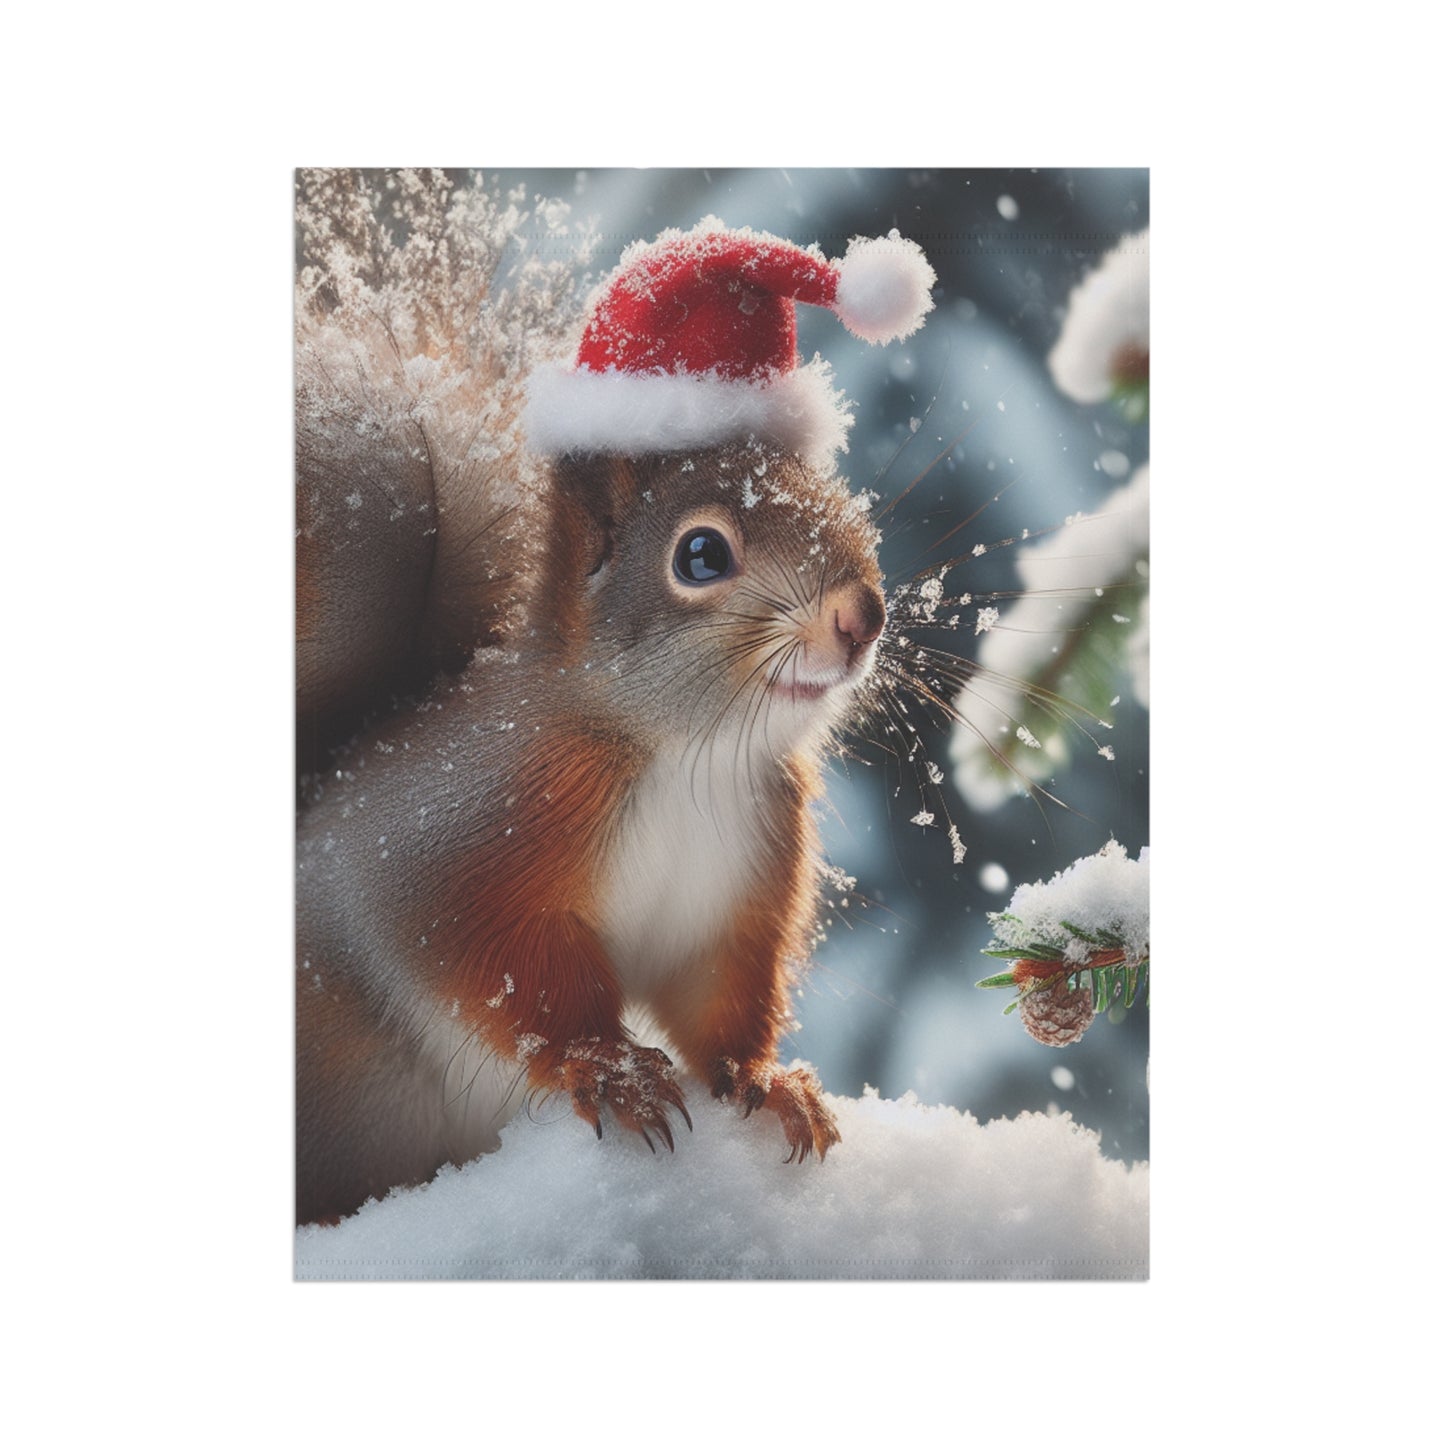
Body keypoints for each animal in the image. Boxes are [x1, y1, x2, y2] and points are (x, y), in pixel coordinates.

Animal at [295, 174, 937, 1226]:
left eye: (842, 507)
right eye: (701, 554)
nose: (863, 615)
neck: (685, 754)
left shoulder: (736, 887)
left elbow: (718, 995)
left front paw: (769, 1081)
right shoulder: (455, 846)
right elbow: (502, 975)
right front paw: (610, 1067)